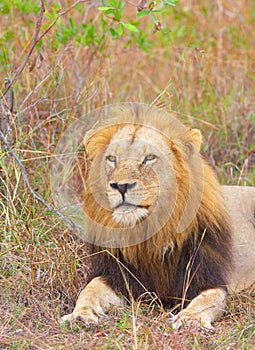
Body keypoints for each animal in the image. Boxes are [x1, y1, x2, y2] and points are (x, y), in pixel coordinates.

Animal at [60, 103, 255, 328]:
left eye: (149, 158)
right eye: (112, 159)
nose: (120, 186)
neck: (151, 233)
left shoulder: (208, 279)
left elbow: (207, 300)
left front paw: (190, 318)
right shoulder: (117, 276)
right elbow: (89, 290)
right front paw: (79, 315)